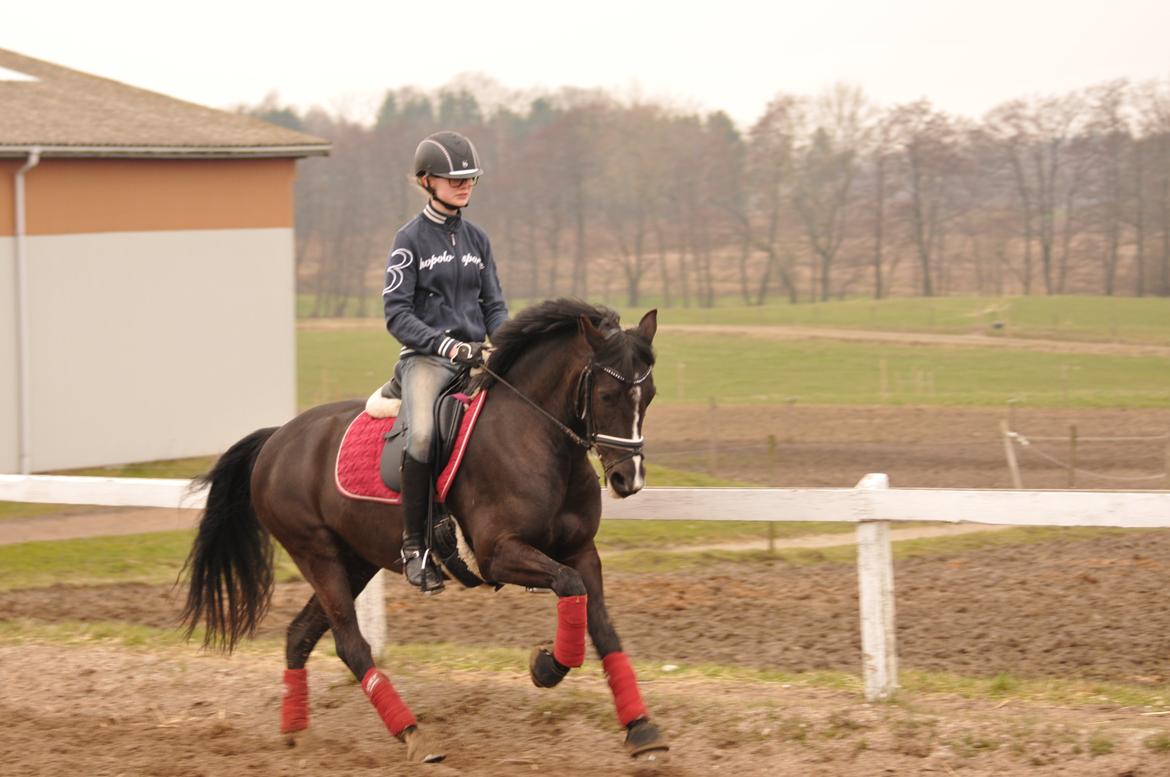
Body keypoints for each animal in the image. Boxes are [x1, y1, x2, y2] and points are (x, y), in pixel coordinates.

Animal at [180, 298, 668, 764]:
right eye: (607, 394)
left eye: (650, 395)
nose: (629, 479)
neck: (537, 437)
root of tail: (278, 438)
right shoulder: (500, 554)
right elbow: (569, 588)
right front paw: (546, 666)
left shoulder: (582, 551)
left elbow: (601, 626)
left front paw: (641, 728)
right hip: (317, 555)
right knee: (351, 645)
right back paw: (414, 734)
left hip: (355, 561)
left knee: (299, 635)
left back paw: (297, 732)